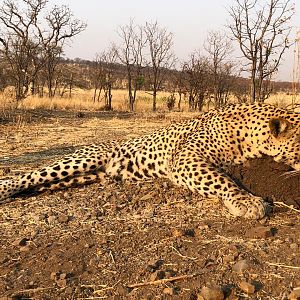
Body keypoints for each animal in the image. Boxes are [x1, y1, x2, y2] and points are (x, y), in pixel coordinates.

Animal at [0, 102, 300, 218]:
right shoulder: (186, 159)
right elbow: (220, 180)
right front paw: (246, 202)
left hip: (86, 175)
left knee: (39, 183)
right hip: (82, 159)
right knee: (29, 176)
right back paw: (5, 189)